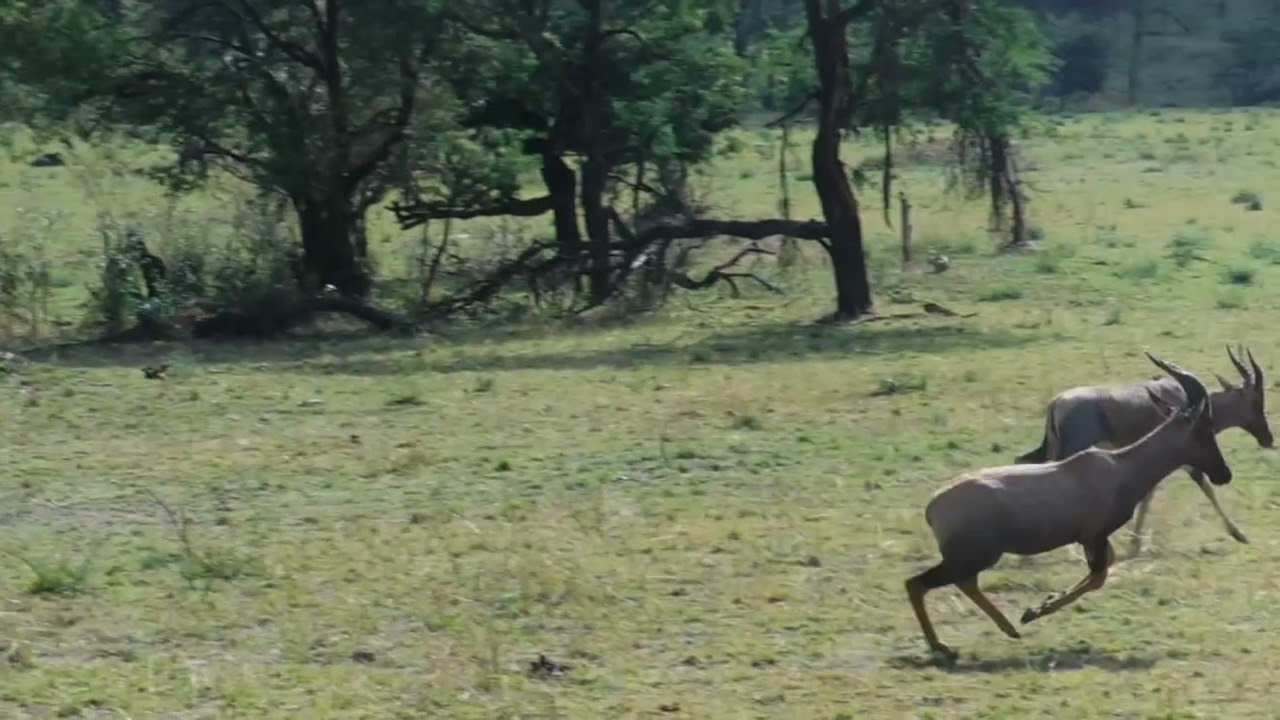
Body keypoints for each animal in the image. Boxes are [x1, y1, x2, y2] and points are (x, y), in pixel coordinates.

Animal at [905, 354, 1232, 663]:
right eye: (1204, 429)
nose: (1224, 475)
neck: (1118, 467)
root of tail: (933, 507)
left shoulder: (1092, 539)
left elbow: (1102, 570)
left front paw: (1040, 604)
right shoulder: (1094, 536)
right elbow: (1098, 578)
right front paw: (1034, 611)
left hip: (972, 558)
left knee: (963, 583)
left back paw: (1006, 630)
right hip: (974, 556)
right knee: (918, 583)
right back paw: (943, 647)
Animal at [1014, 345, 1270, 555]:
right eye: (1256, 401)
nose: (1268, 439)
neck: (1180, 396)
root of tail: (1056, 403)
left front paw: (1133, 540)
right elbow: (1203, 488)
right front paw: (1239, 534)